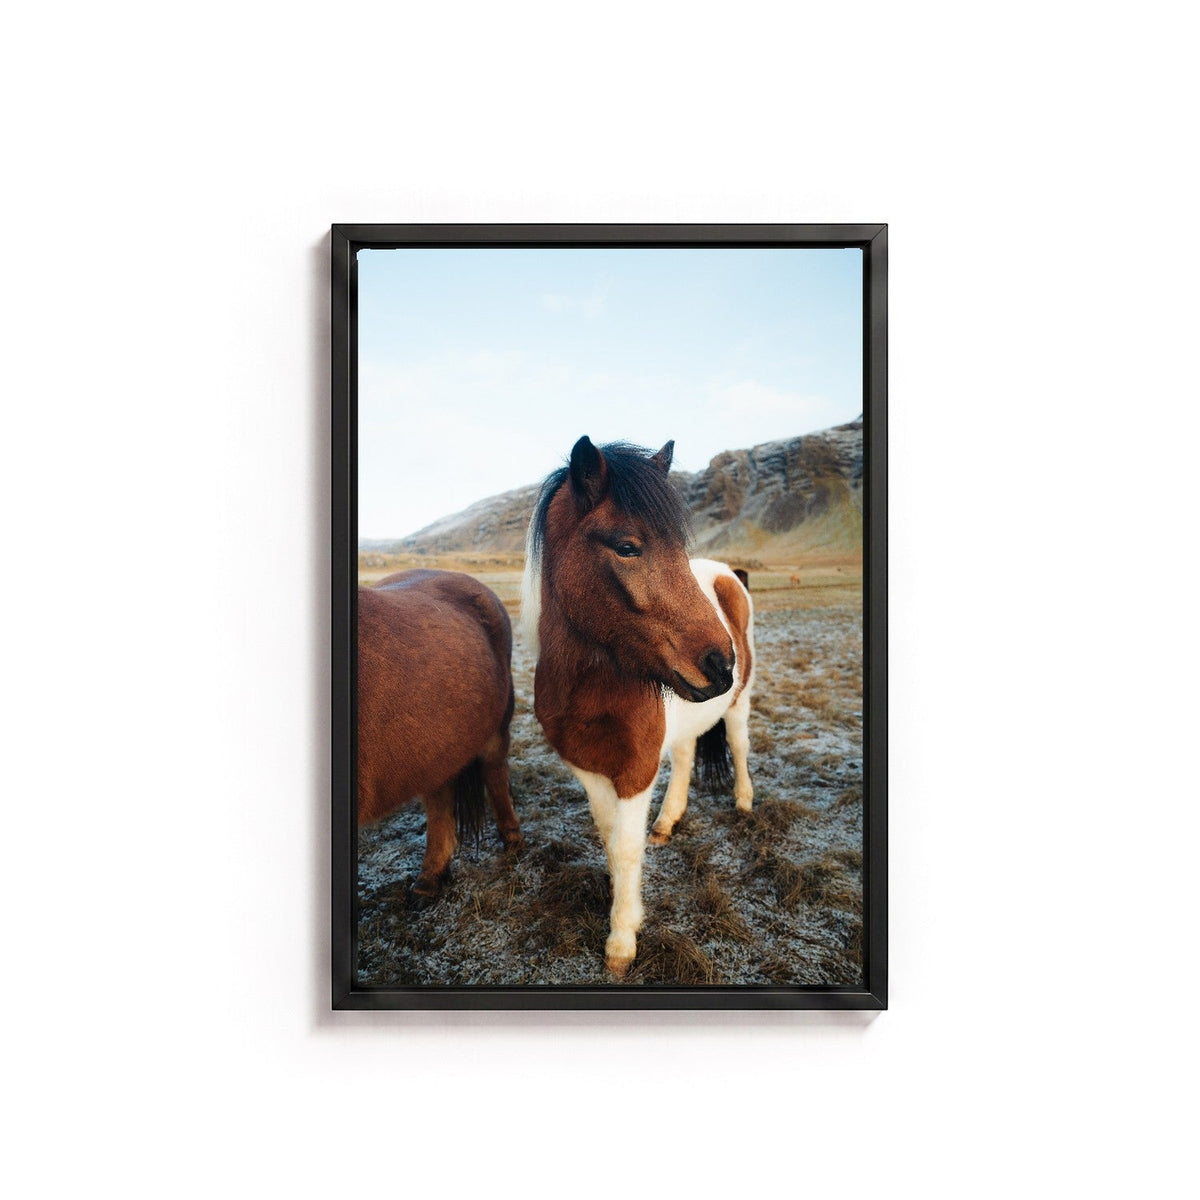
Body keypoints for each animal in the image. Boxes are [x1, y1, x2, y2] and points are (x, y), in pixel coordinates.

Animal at [358, 569, 522, 900]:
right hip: (435, 750)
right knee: (440, 802)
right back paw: (430, 879)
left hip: (494, 732)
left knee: (495, 776)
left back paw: (512, 841)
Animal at [522, 437, 755, 976]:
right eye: (627, 547)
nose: (720, 665)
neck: (591, 689)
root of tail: (728, 574)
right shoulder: (588, 767)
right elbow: (610, 838)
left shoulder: (637, 769)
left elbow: (626, 849)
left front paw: (623, 937)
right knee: (687, 758)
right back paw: (668, 822)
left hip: (740, 705)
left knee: (739, 746)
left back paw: (744, 802)